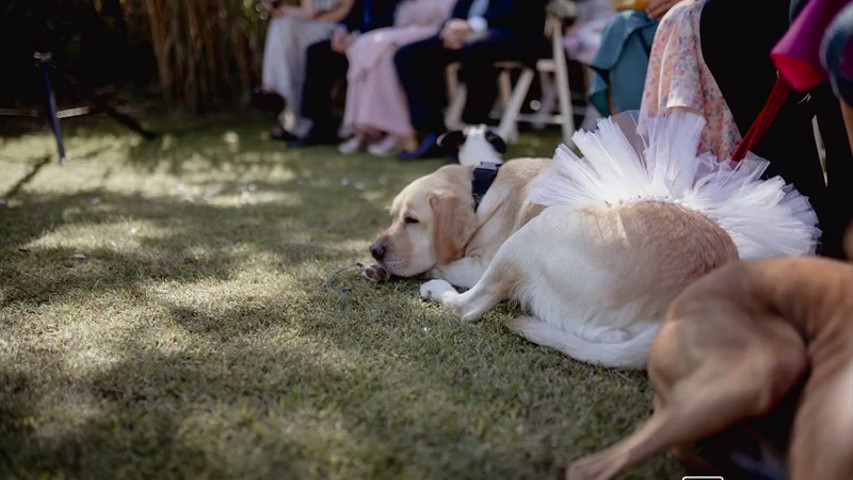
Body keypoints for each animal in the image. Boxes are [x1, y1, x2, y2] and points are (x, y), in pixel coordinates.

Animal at [372, 158, 544, 288]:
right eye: (393, 217)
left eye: (411, 220)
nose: (373, 250)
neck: (481, 194)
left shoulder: (482, 267)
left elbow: (439, 265)